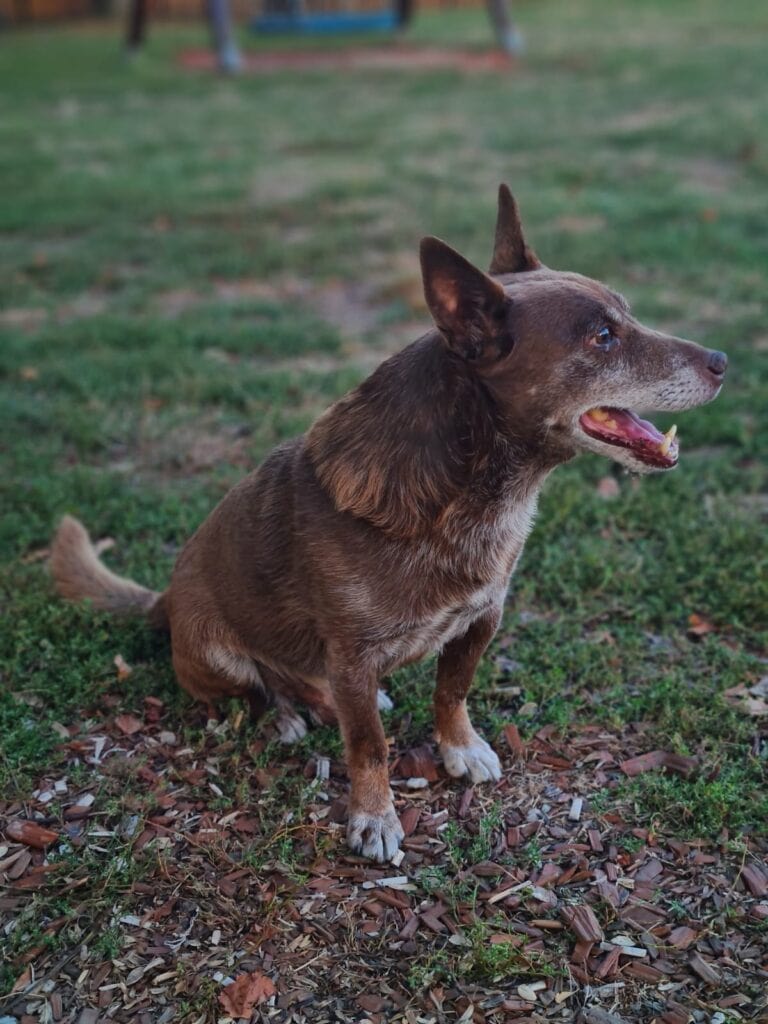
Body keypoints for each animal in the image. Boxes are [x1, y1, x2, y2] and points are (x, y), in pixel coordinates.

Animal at [49, 186, 729, 864]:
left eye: (627, 318)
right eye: (603, 337)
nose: (723, 360)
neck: (469, 494)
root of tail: (163, 600)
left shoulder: (480, 620)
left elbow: (451, 692)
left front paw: (460, 747)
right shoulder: (353, 655)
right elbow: (369, 747)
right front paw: (374, 816)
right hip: (218, 654)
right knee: (260, 689)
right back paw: (287, 714)